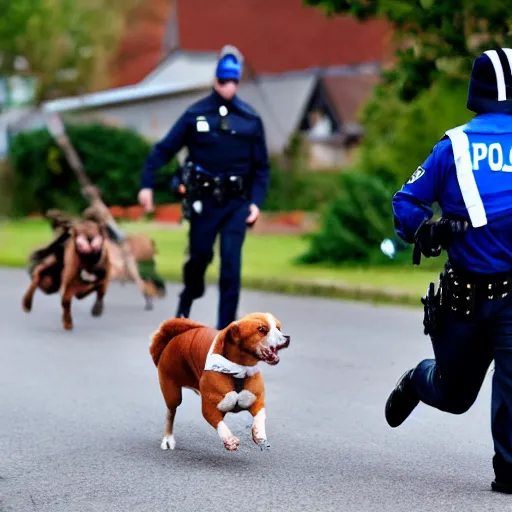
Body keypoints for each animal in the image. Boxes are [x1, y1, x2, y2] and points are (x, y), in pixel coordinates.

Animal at [150, 312, 290, 452]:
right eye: (262, 329)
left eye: (278, 328)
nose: (287, 337)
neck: (239, 370)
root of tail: (176, 336)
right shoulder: (210, 409)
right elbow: (220, 424)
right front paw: (229, 440)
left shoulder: (257, 401)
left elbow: (260, 416)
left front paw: (259, 434)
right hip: (172, 393)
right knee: (170, 413)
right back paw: (168, 438)